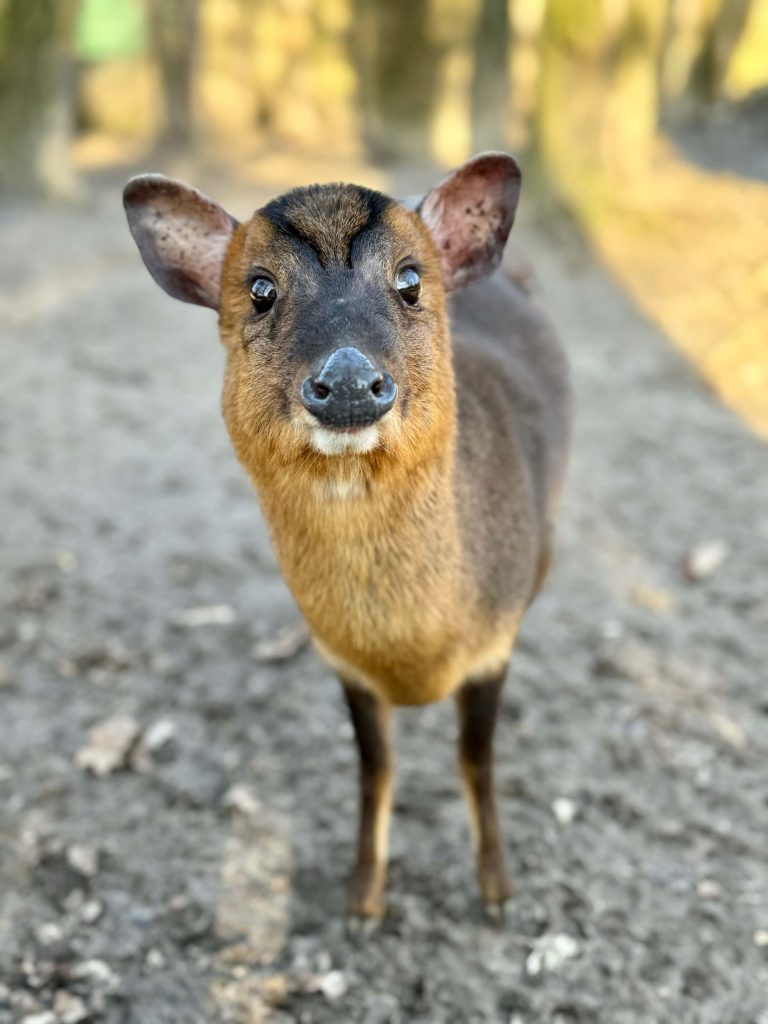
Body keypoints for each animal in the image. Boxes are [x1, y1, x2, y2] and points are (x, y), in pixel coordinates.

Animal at [124, 155, 573, 925]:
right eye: (260, 289)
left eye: (411, 280)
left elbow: (475, 758)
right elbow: (374, 767)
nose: (349, 379)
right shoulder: (343, 660)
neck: (416, 655)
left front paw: (497, 891)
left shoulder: (495, 638)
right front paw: (363, 899)